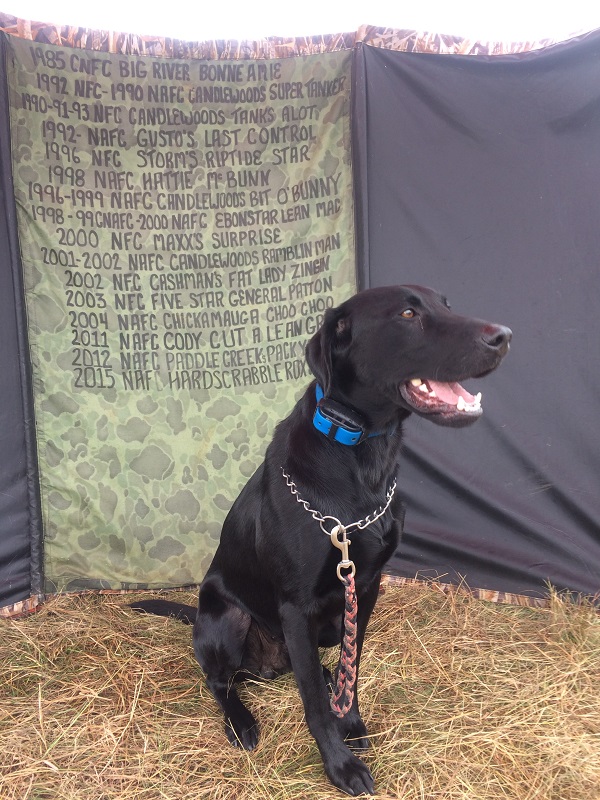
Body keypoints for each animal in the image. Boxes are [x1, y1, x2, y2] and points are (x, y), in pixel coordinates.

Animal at [132, 286, 510, 792]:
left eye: (446, 305)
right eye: (408, 313)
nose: (503, 336)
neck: (362, 454)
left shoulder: (364, 588)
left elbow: (354, 664)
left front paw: (349, 721)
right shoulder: (296, 606)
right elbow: (312, 701)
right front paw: (340, 764)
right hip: (227, 616)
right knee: (222, 681)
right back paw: (240, 720)